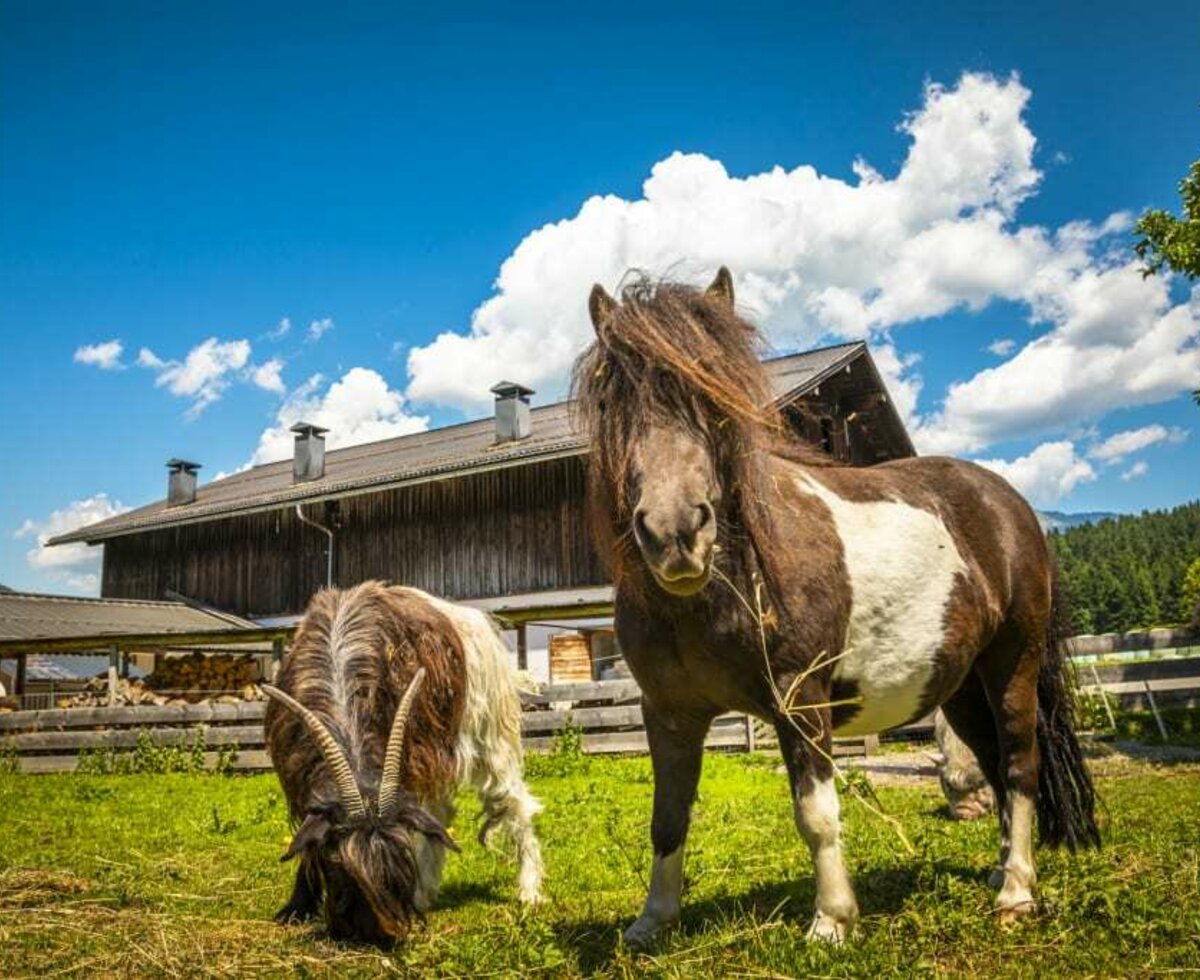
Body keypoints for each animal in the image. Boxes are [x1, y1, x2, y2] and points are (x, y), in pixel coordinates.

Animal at [571, 266, 1099, 940]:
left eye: (715, 400)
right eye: (610, 403)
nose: (675, 533)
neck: (712, 596)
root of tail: (1007, 501)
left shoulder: (800, 699)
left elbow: (816, 813)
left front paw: (831, 920)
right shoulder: (667, 713)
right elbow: (667, 818)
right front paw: (652, 922)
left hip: (1015, 664)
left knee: (1019, 766)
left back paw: (1016, 891)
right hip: (962, 684)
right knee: (992, 760)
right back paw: (1000, 870)